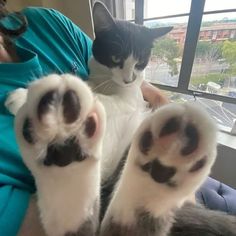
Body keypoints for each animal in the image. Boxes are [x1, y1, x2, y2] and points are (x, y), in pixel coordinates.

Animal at [5, 1, 236, 236]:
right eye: (116, 57)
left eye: (141, 62)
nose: (129, 78)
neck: (109, 82)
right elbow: (88, 86)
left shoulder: (130, 100)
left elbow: (100, 99)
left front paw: (26, 96)